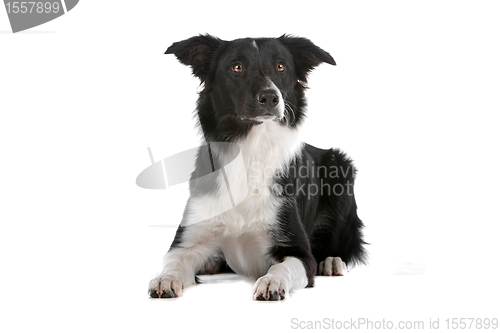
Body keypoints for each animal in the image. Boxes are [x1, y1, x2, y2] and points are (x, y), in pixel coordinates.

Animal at [149, 35, 368, 300]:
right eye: (236, 67)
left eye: (281, 66)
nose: (270, 97)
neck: (250, 149)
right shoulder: (186, 242)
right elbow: (174, 262)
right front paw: (165, 279)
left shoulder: (299, 252)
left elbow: (284, 266)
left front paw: (271, 281)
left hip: (341, 169)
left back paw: (332, 261)